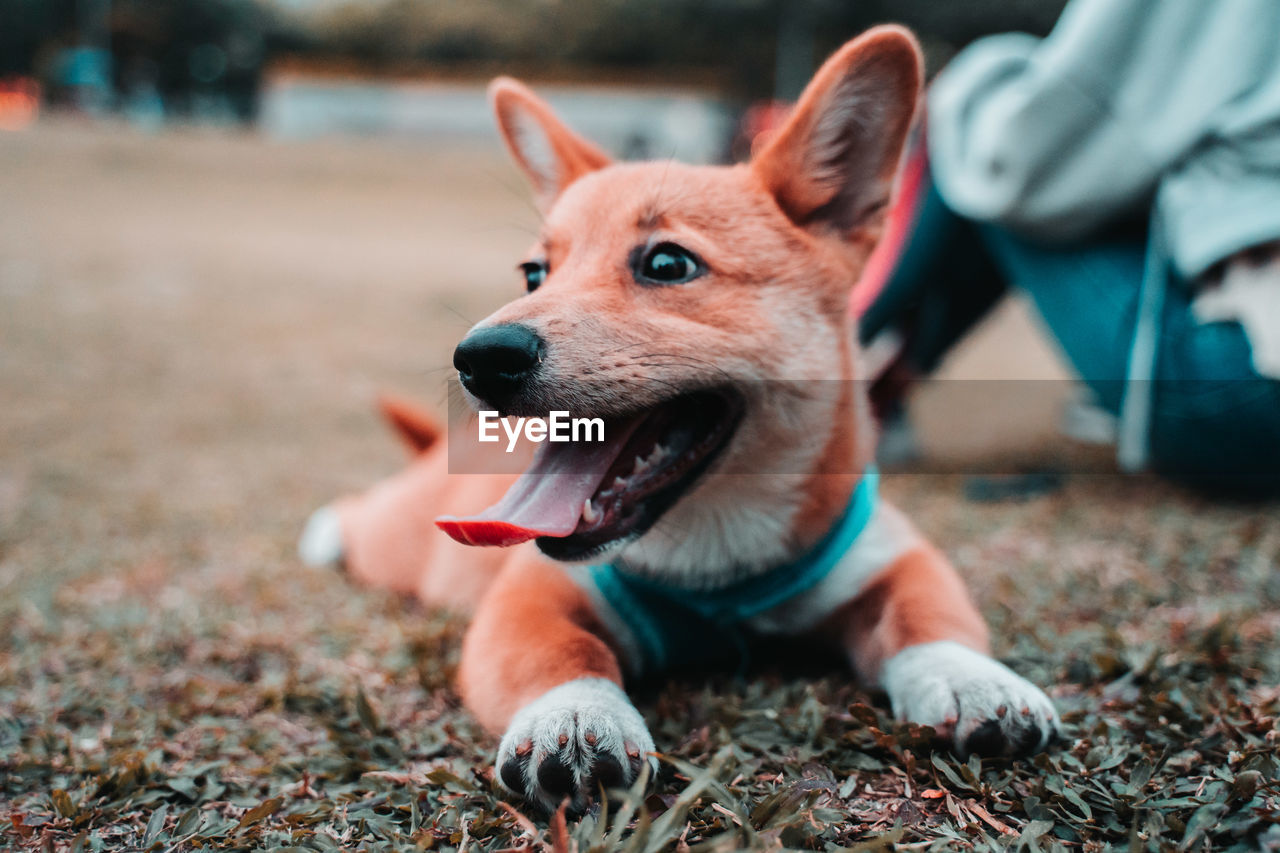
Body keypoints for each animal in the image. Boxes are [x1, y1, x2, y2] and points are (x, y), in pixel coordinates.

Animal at [299, 26, 1059, 809]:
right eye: (535, 274)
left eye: (667, 264)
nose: (480, 357)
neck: (714, 564)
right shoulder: (529, 597)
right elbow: (563, 652)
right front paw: (575, 716)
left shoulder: (896, 558)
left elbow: (929, 617)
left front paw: (973, 679)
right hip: (398, 540)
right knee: (360, 513)